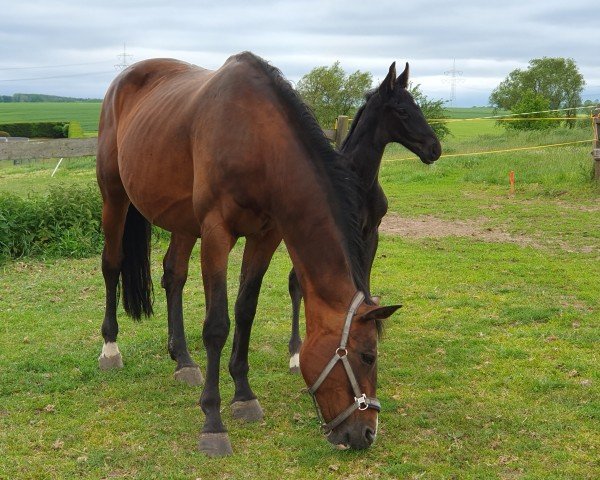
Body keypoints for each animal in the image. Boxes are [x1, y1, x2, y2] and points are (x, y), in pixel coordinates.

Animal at [96, 50, 400, 456]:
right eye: (367, 356)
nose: (366, 434)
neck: (256, 138)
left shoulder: (265, 236)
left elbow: (245, 311)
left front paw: (243, 396)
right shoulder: (216, 234)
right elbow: (217, 325)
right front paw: (213, 421)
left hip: (182, 221)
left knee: (173, 276)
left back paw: (183, 359)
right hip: (115, 199)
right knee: (111, 266)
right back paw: (110, 349)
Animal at [286, 61, 440, 372]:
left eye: (417, 106)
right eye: (402, 110)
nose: (435, 149)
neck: (360, 182)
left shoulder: (372, 233)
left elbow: (364, 282)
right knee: (294, 282)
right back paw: (295, 352)